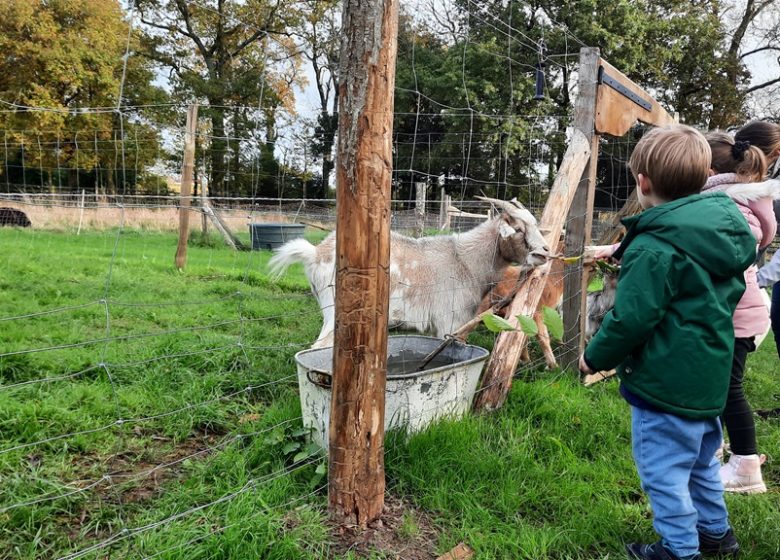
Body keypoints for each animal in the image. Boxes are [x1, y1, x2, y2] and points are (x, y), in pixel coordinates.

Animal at [272, 196, 552, 346]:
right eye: (518, 229)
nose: (544, 252)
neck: (465, 261)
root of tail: (316, 252)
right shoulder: (450, 321)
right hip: (337, 312)